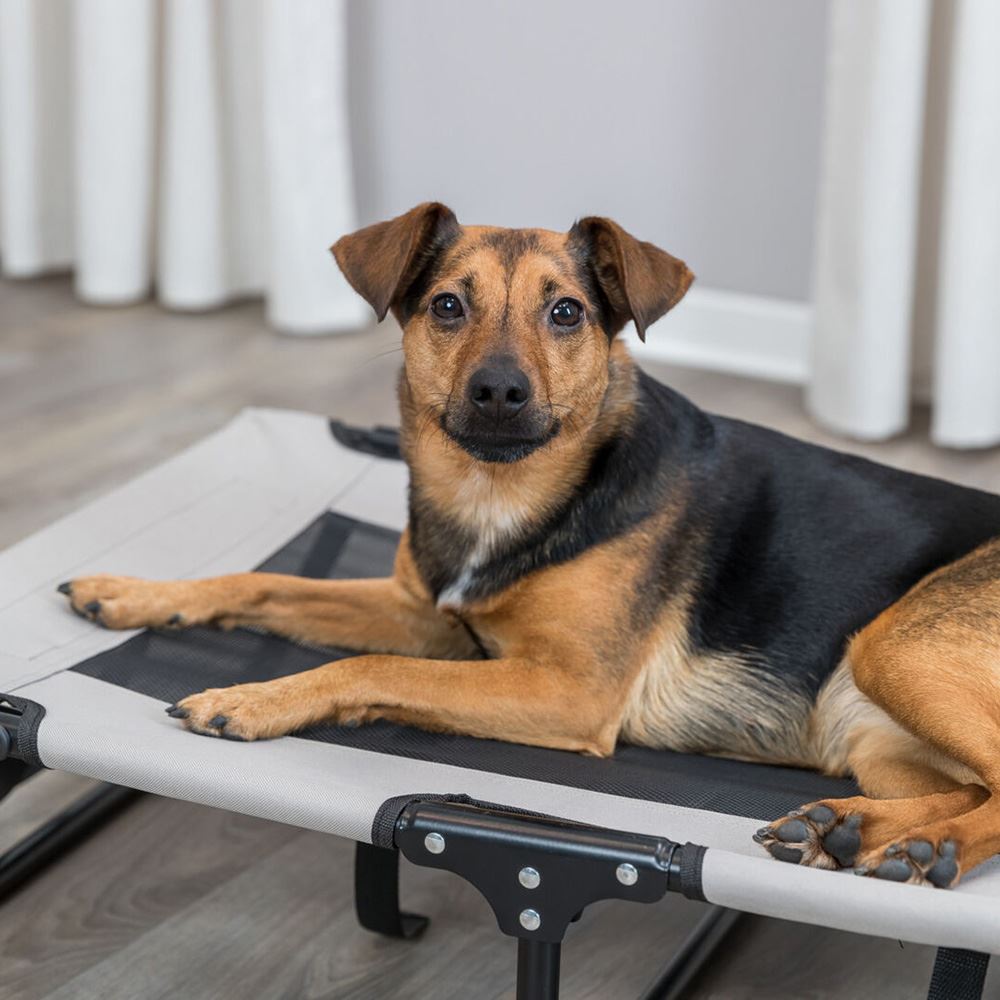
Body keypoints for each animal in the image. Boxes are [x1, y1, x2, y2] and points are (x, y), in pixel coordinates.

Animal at [58, 203, 1000, 892]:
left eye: (566, 312)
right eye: (447, 305)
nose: (500, 392)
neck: (501, 498)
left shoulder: (569, 691)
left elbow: (373, 669)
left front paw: (254, 699)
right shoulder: (423, 615)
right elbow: (257, 581)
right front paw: (136, 592)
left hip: (892, 645)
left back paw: (926, 851)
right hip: (876, 741)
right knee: (972, 787)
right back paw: (852, 829)